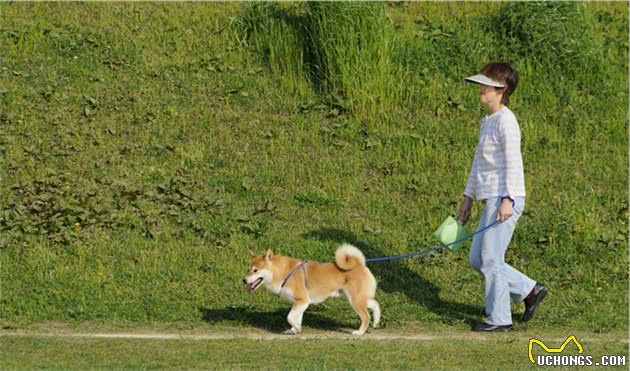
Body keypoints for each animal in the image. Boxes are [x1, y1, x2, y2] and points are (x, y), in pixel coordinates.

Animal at [242, 246, 380, 336]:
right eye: (248, 269)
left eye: (255, 270)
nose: (244, 280)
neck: (283, 272)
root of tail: (359, 264)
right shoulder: (300, 303)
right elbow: (296, 317)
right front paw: (294, 330)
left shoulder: (302, 300)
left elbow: (289, 317)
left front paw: (297, 328)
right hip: (356, 298)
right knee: (375, 304)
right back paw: (376, 321)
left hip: (355, 300)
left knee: (366, 316)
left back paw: (360, 332)